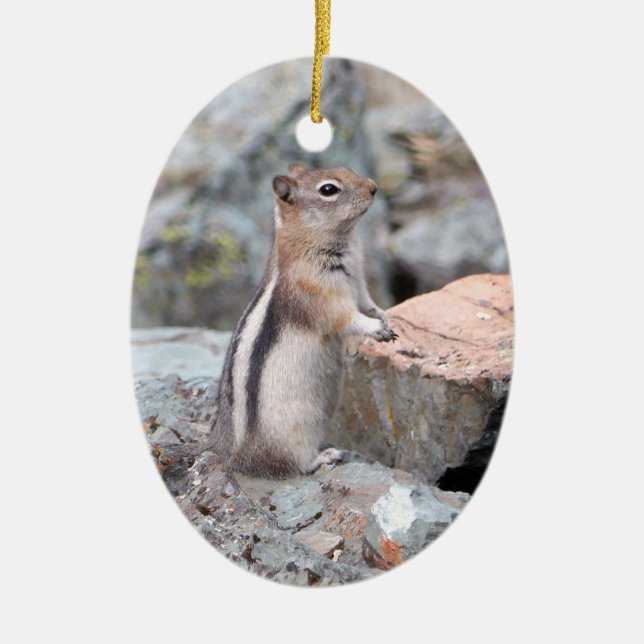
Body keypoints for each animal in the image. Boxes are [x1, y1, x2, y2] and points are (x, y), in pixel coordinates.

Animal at [211, 164, 397, 478]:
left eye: (347, 168)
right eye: (328, 189)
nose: (373, 187)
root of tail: (235, 460)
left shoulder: (359, 283)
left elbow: (368, 305)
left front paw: (385, 318)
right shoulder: (322, 297)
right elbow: (348, 319)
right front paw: (376, 329)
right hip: (297, 429)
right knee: (293, 464)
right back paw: (325, 456)